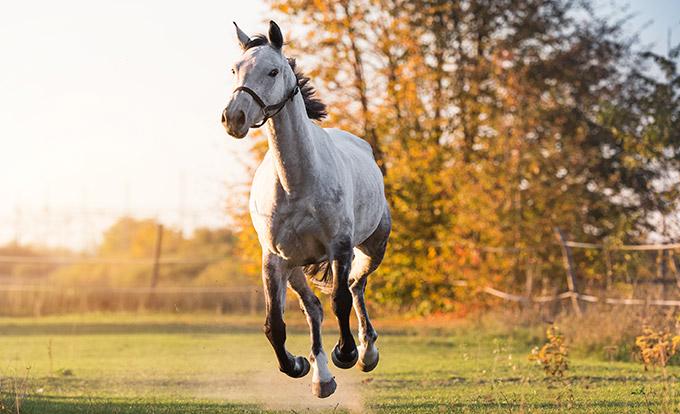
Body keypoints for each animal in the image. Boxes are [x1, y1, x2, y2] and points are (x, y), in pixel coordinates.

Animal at [220, 21, 390, 400]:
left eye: (273, 71)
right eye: (235, 69)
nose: (233, 118)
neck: (297, 182)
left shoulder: (339, 247)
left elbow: (340, 300)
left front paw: (347, 353)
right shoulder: (274, 259)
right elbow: (275, 325)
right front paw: (297, 365)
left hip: (373, 247)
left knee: (356, 286)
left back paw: (366, 352)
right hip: (296, 267)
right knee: (313, 308)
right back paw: (321, 377)